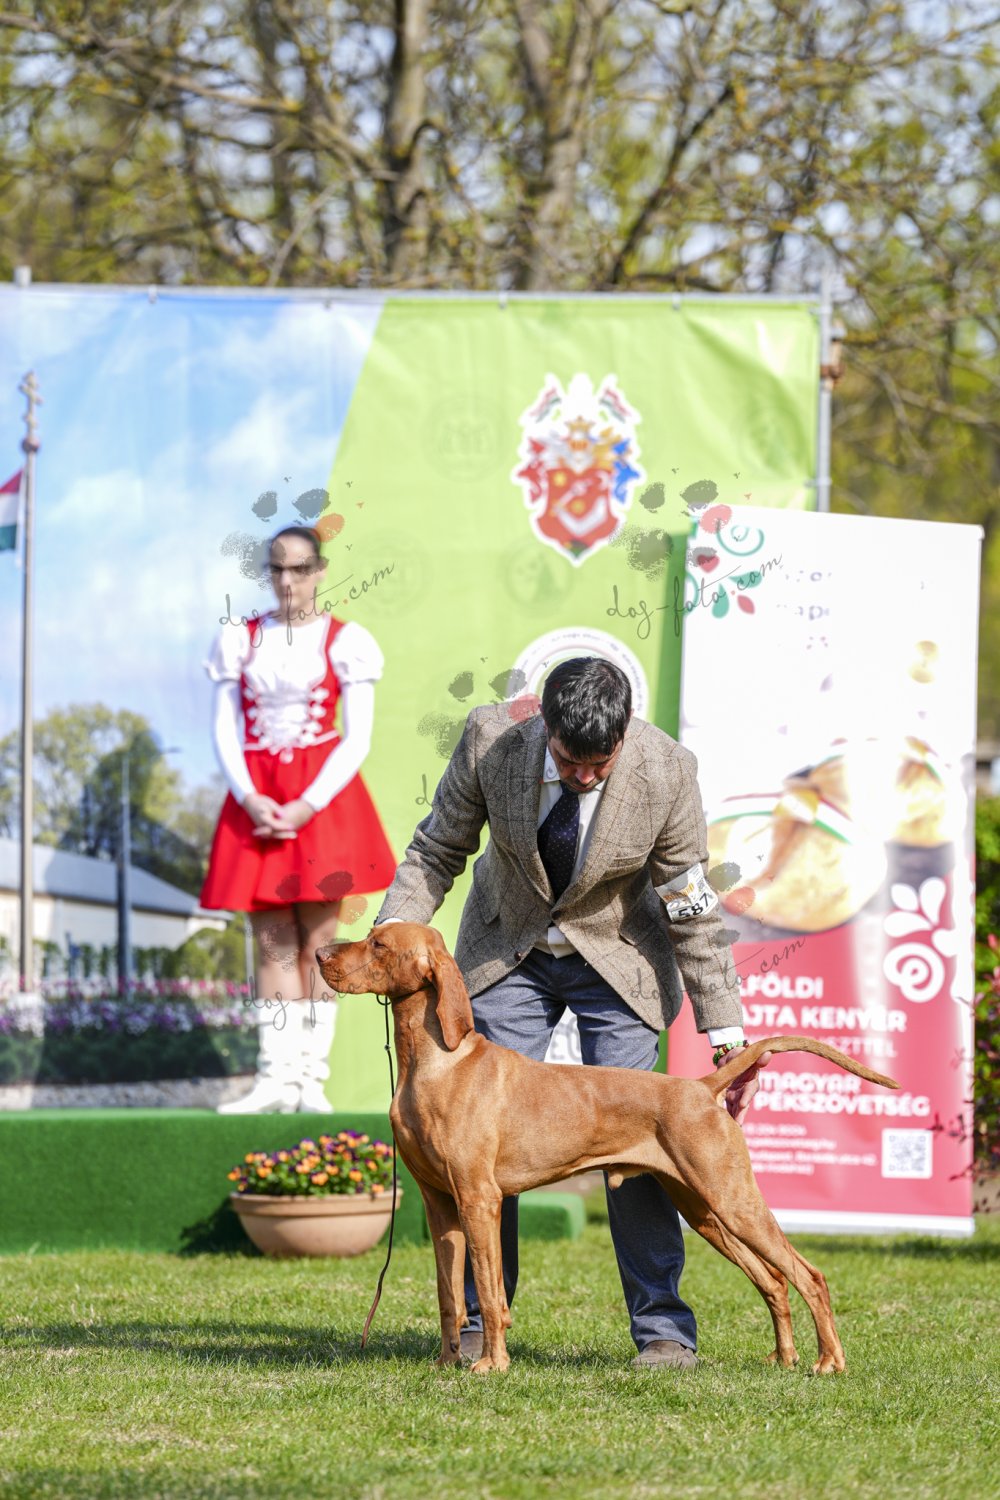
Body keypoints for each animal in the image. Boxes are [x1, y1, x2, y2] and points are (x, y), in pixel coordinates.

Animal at [317, 922, 898, 1374]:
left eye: (378, 944)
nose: (320, 954)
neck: (435, 1062)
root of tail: (699, 1087)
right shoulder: (441, 1204)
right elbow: (448, 1296)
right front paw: (446, 1363)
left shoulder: (480, 1199)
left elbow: (489, 1288)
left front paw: (491, 1365)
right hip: (703, 1209)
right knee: (774, 1280)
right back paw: (784, 1358)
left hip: (733, 1200)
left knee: (809, 1275)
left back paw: (829, 1361)